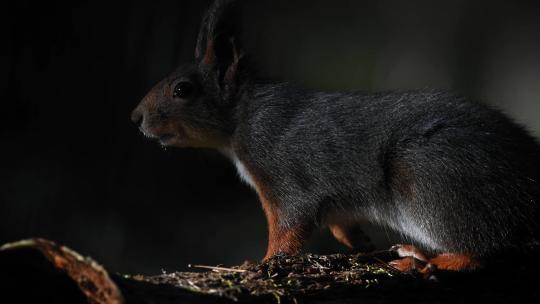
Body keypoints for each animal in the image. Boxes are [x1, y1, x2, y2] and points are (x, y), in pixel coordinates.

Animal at [131, 0, 540, 274]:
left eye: (182, 90)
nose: (136, 118)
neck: (243, 117)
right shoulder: (333, 202)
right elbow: (339, 221)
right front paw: (359, 243)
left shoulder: (283, 173)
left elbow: (288, 227)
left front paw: (264, 262)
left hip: (433, 181)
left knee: (486, 247)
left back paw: (431, 259)